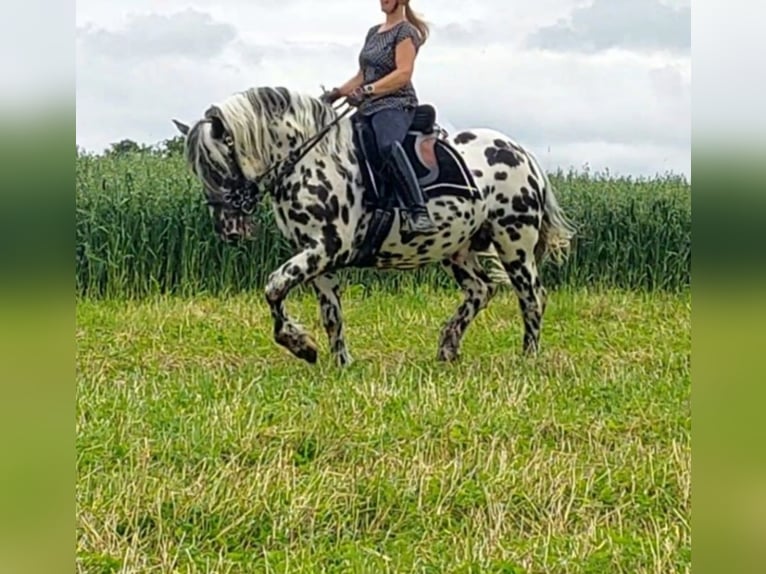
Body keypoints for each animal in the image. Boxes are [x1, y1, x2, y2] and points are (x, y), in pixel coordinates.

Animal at [174, 85, 580, 364]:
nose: (228, 228)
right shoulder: (317, 257)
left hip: (514, 242)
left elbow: (273, 287)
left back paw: (527, 358)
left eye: (215, 165)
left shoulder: (326, 249)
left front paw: (300, 345)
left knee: (532, 297)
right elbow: (331, 314)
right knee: (481, 290)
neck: (309, 159)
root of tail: (522, 153)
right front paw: (340, 362)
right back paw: (448, 346)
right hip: (458, 248)